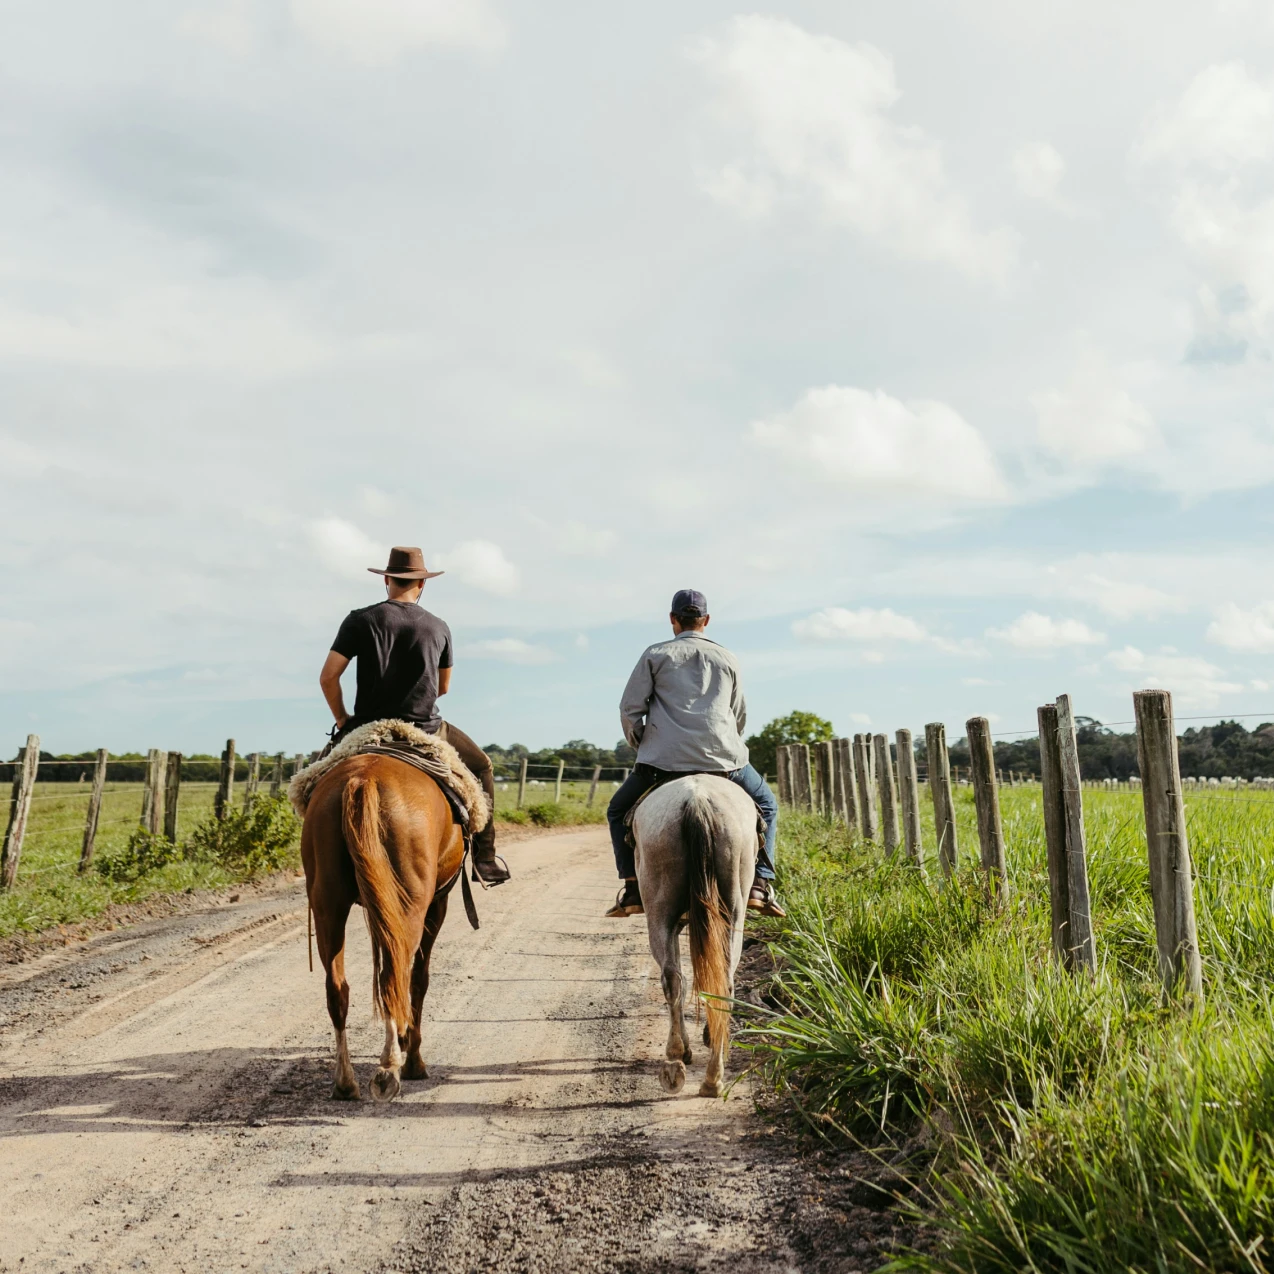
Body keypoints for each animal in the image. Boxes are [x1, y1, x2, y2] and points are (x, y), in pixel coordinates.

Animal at [300, 754, 465, 1102]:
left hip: (328, 906)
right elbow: (419, 980)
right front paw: (411, 1056)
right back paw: (392, 1067)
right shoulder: (437, 904)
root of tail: (364, 779)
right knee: (396, 974)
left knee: (337, 988)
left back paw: (345, 1083)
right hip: (408, 907)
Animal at [632, 775, 757, 1098]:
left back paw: (682, 1059)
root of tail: (697, 800)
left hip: (662, 914)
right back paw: (709, 1074)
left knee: (674, 979)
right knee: (718, 983)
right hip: (731, 914)